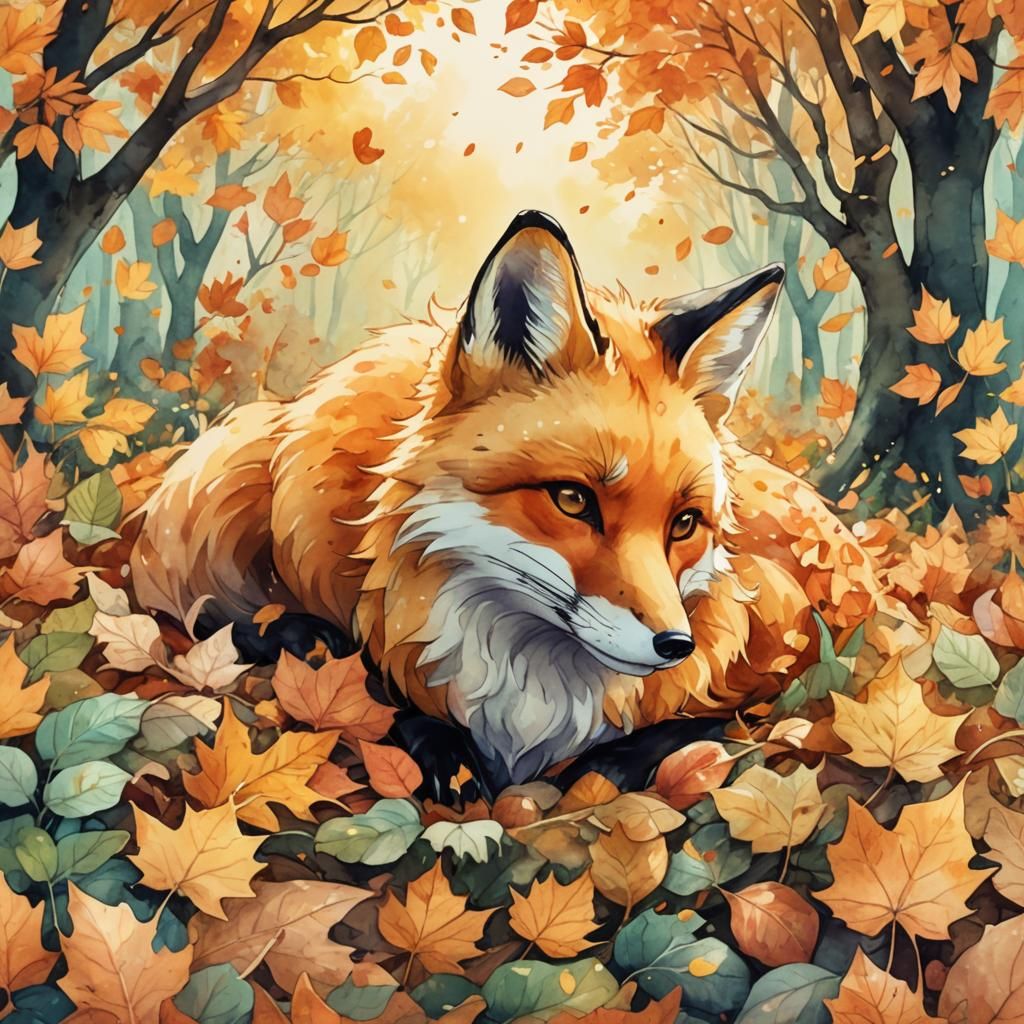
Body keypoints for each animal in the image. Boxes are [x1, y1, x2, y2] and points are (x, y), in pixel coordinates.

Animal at [130, 210, 882, 799]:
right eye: (573, 499)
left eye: (686, 524)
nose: (674, 645)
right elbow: (356, 678)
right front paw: (438, 748)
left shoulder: (794, 650)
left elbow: (719, 725)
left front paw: (611, 765)